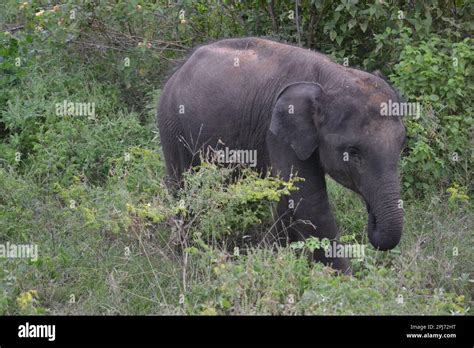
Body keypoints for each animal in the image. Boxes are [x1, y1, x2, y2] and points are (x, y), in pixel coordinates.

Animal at [156, 36, 408, 274]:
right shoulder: (278, 131)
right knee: (184, 188)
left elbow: (289, 198)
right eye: (353, 152)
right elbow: (309, 201)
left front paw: (274, 253)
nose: (372, 218)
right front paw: (344, 281)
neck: (330, 79)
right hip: (172, 124)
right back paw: (184, 253)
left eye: (401, 144)